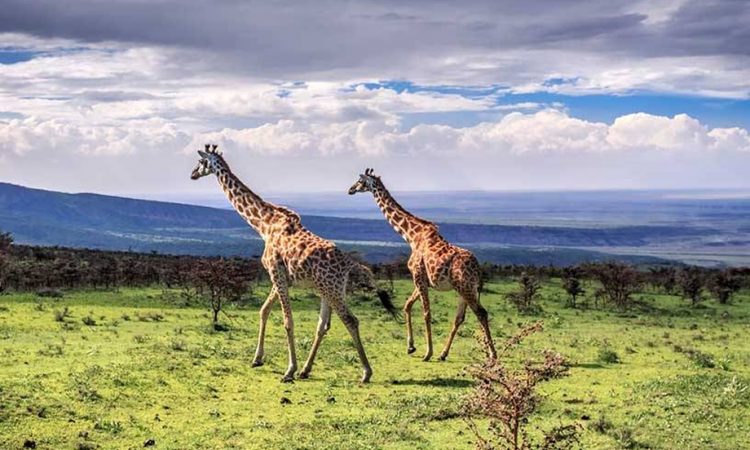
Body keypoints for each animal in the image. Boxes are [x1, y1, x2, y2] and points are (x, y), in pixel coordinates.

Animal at [191, 145, 396, 384]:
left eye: (201, 161)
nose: (192, 174)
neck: (264, 225)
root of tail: (349, 264)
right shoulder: (281, 276)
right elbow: (263, 311)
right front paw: (257, 359)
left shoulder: (275, 272)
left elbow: (287, 321)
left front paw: (288, 370)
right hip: (328, 289)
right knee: (323, 325)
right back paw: (306, 370)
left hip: (332, 289)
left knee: (350, 320)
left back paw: (365, 372)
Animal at [348, 169, 500, 362]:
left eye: (360, 181)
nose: (350, 189)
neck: (411, 236)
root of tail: (478, 268)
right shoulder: (421, 279)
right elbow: (407, 305)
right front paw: (411, 347)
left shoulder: (418, 276)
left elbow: (426, 313)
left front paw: (427, 353)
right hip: (464, 289)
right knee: (460, 318)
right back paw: (444, 354)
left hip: (465, 287)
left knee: (481, 313)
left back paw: (492, 354)